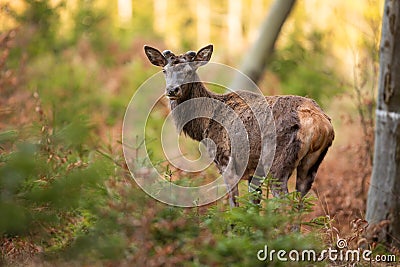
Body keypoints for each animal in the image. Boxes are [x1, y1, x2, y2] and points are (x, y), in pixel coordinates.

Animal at [145, 44, 334, 207]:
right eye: (164, 70)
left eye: (190, 70)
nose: (172, 90)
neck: (204, 126)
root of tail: (320, 124)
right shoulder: (254, 172)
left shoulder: (225, 161)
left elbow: (234, 206)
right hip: (311, 164)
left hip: (277, 162)